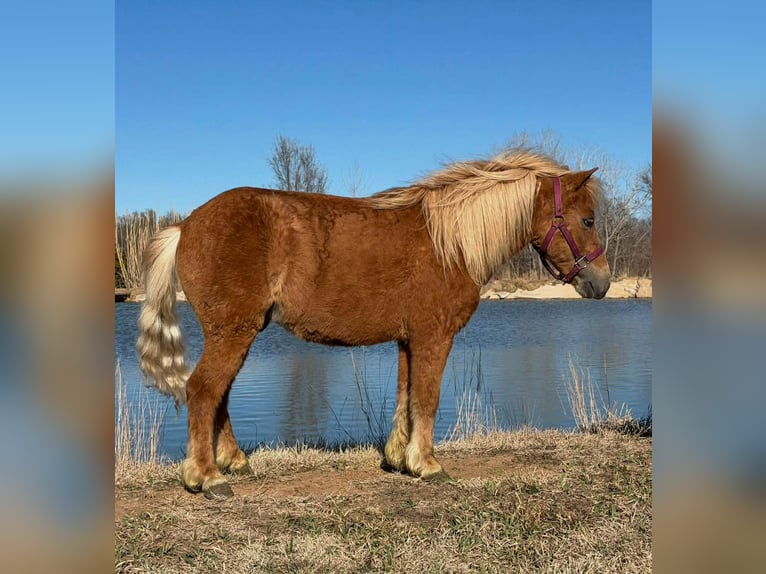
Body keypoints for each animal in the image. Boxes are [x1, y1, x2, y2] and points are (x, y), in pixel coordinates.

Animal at [137, 149, 611, 499]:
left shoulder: (408, 340)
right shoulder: (434, 336)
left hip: (236, 333)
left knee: (219, 394)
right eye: (587, 219)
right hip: (233, 332)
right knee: (203, 390)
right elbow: (427, 398)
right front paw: (428, 465)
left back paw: (233, 462)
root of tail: (185, 225)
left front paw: (400, 458)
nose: (602, 282)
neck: (450, 241)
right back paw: (207, 477)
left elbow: (406, 396)